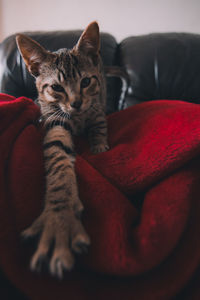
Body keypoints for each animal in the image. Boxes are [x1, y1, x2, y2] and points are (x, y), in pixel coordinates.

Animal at [15, 20, 128, 278]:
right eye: (56, 87)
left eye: (86, 82)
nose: (76, 103)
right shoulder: (55, 120)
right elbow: (58, 158)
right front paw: (60, 217)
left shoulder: (96, 108)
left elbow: (98, 127)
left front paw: (99, 146)